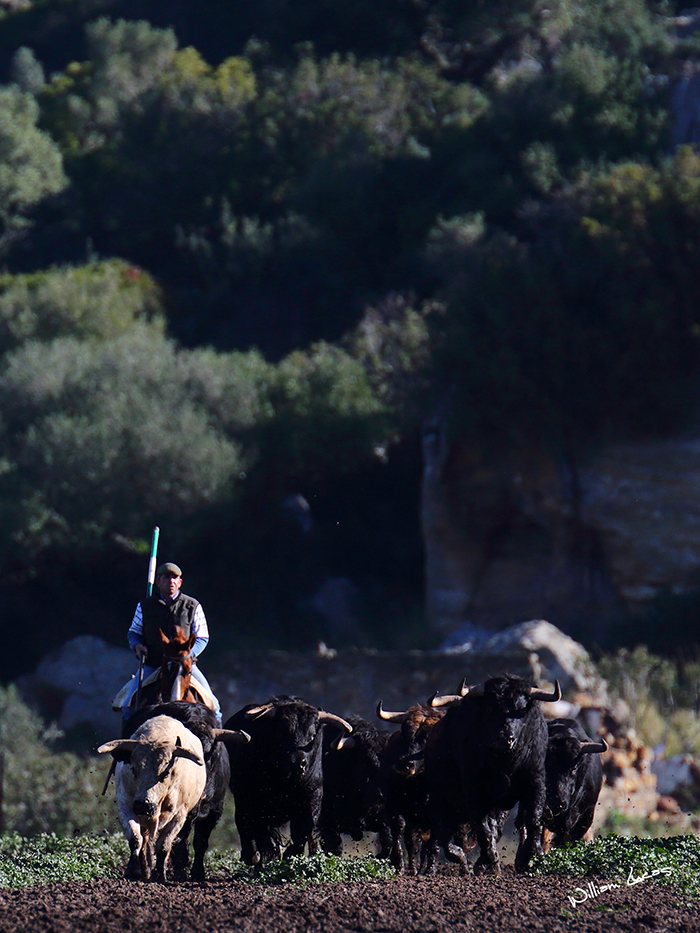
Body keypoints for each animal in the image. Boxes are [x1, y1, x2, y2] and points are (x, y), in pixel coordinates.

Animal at [422, 672, 564, 872]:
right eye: (491, 708)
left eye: (521, 709)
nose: (506, 738)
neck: (504, 763)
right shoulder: (475, 791)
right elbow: (483, 829)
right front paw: (489, 860)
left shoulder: (535, 783)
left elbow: (533, 820)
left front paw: (532, 854)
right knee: (445, 833)